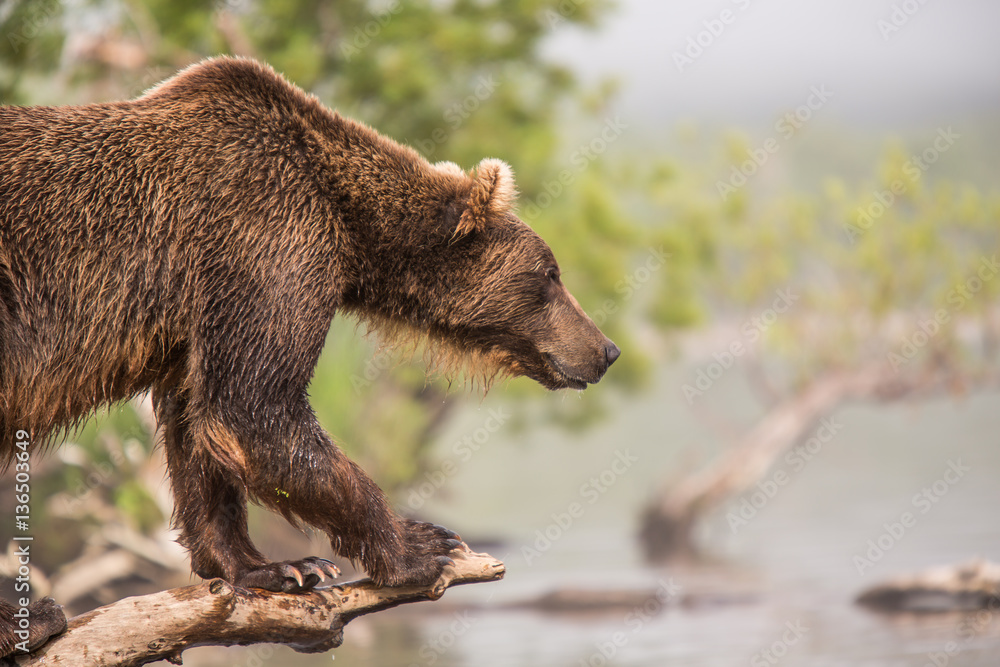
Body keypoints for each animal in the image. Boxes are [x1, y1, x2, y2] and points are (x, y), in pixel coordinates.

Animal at [0, 56, 619, 656]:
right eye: (551, 275)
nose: (605, 349)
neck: (349, 226)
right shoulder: (267, 236)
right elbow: (255, 407)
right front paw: (420, 545)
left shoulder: (201, 309)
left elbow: (199, 423)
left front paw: (270, 567)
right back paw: (29, 619)